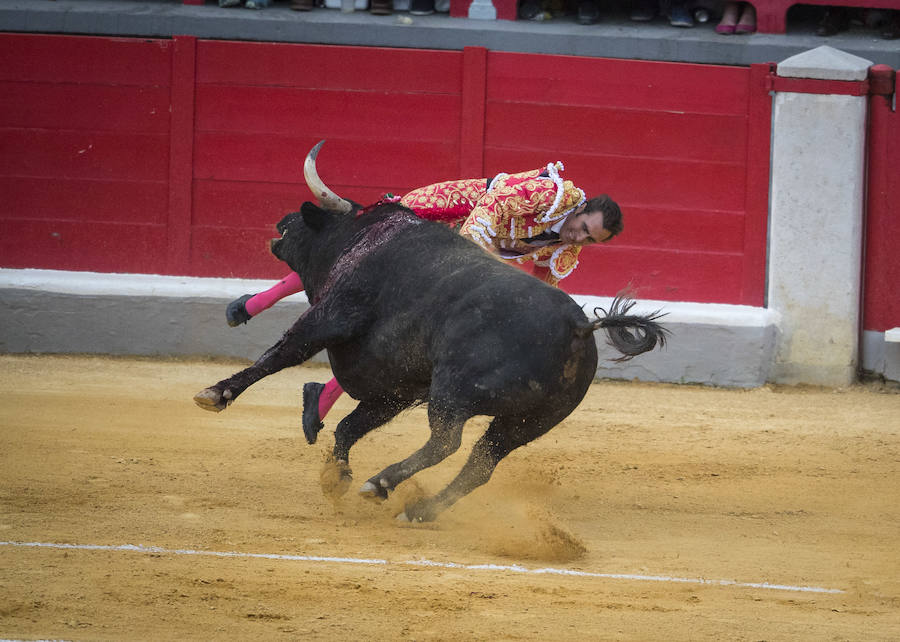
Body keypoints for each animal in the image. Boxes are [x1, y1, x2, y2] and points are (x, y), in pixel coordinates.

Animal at [193, 166, 664, 524]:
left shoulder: (334, 315)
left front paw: (217, 393)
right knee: (480, 464)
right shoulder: (399, 385)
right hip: (530, 421)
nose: (282, 222)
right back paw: (420, 509)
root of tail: (577, 326)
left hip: (453, 393)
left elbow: (282, 353)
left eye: (310, 221)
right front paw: (335, 477)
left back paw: (382, 483)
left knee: (446, 444)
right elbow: (350, 426)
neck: (361, 237)